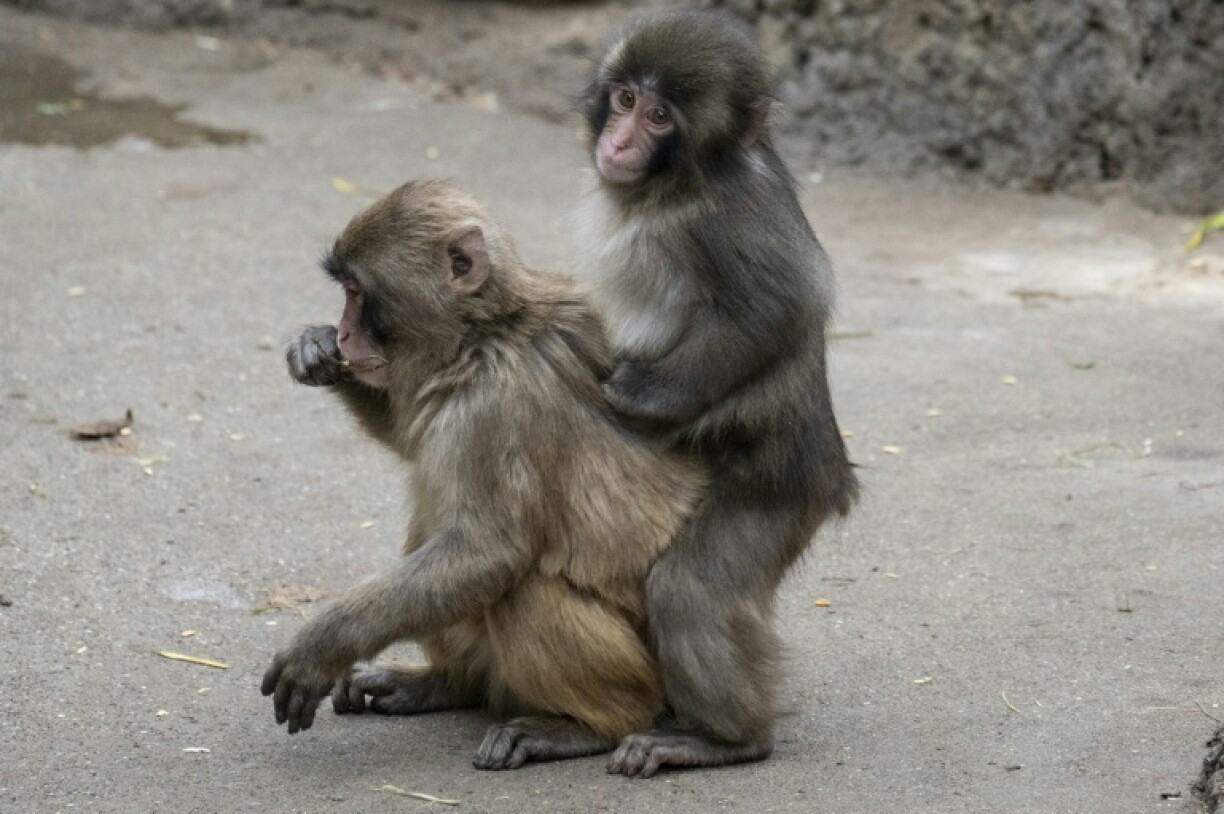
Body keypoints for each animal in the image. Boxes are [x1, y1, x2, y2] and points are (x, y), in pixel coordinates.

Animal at [261, 179, 705, 771]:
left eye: (357, 291)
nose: (348, 331)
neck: (482, 335)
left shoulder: (496, 404)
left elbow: (488, 552)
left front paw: (322, 644)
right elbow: (407, 436)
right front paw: (314, 347)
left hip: (638, 672)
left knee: (520, 587)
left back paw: (590, 725)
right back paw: (448, 684)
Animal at [574, 11, 859, 777]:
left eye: (660, 116)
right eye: (624, 100)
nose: (619, 141)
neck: (674, 187)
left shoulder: (724, 218)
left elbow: (782, 304)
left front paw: (643, 395)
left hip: (777, 496)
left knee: (690, 590)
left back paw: (726, 740)